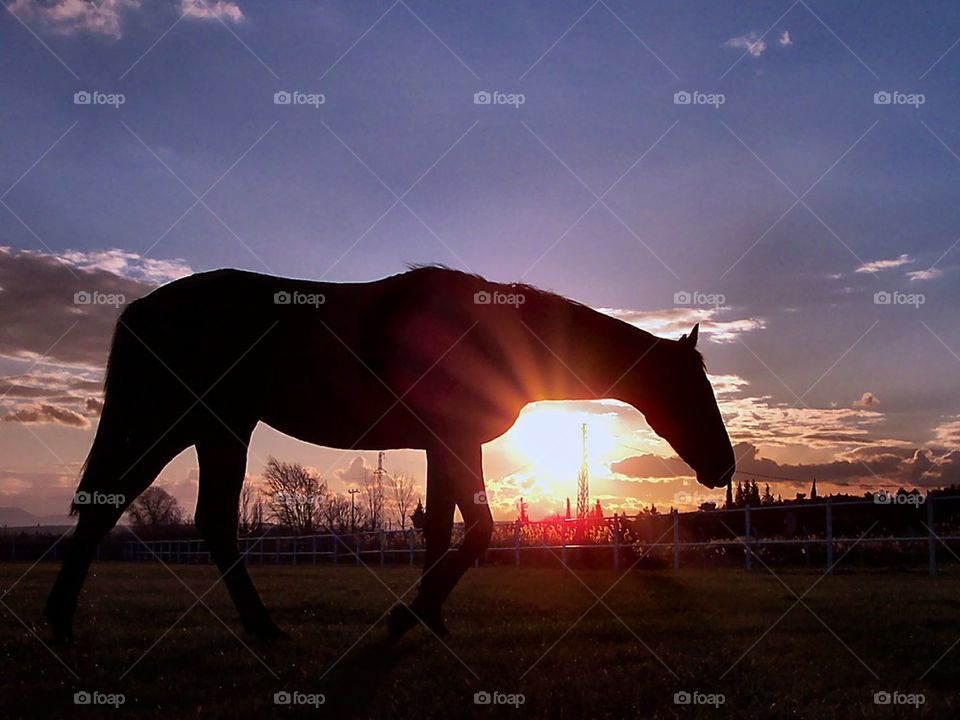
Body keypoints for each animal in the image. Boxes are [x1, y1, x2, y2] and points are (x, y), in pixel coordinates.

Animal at [45, 266, 735, 641]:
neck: (490, 332)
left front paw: (426, 614)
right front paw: (415, 613)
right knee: (144, 510)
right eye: (691, 387)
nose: (724, 466)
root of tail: (143, 308)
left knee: (162, 514)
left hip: (209, 427)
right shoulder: (453, 437)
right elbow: (478, 530)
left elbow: (440, 528)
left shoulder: (442, 443)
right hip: (186, 421)